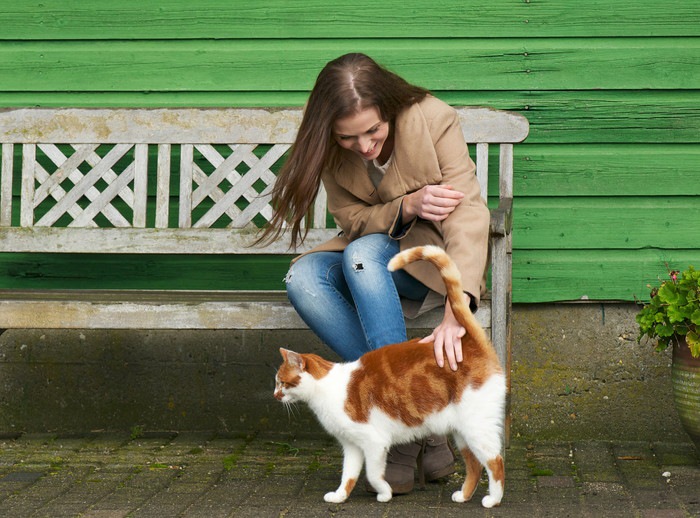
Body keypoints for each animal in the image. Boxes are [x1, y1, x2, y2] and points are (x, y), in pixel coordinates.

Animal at [270, 246, 506, 510]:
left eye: (282, 382)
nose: (275, 395)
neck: (326, 389)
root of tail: (474, 344)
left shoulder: (374, 442)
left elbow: (373, 473)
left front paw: (384, 492)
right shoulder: (352, 446)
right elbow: (348, 475)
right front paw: (340, 496)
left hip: (476, 427)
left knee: (495, 461)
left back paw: (493, 499)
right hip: (461, 431)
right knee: (474, 464)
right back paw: (464, 496)